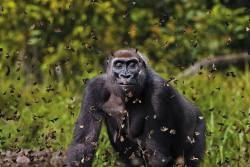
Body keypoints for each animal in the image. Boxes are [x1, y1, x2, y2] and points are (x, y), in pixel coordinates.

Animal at [66, 49, 205, 166]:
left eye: (132, 65)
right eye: (118, 65)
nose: (126, 76)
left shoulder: (159, 91)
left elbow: (156, 155)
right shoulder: (95, 87)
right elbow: (83, 144)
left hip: (199, 126)